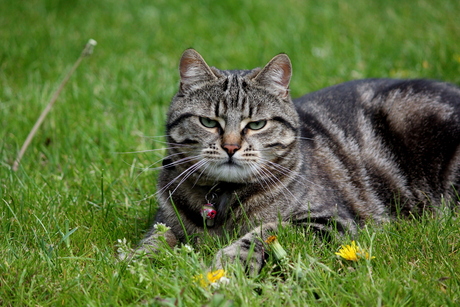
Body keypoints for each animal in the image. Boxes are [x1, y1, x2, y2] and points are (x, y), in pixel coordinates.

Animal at [133, 48, 460, 274]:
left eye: (256, 125)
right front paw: (132, 261)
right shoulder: (165, 221)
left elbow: (266, 232)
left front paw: (233, 260)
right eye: (208, 122)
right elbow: (153, 240)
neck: (222, 196)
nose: (230, 147)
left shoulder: (328, 220)